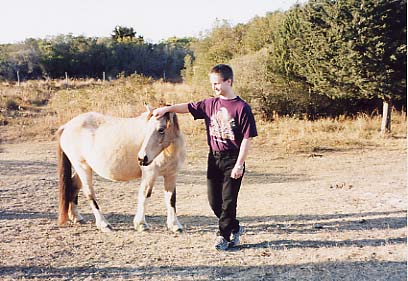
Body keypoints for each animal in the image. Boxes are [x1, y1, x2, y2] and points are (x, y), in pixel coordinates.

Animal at [55, 107, 185, 232]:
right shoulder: (150, 174)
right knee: (89, 194)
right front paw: (141, 224)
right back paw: (104, 224)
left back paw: (77, 217)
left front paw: (175, 225)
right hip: (82, 167)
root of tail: (67, 126)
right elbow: (145, 195)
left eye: (161, 129)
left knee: (73, 185)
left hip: (84, 167)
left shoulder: (171, 175)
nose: (142, 158)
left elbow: (171, 199)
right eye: (146, 129)